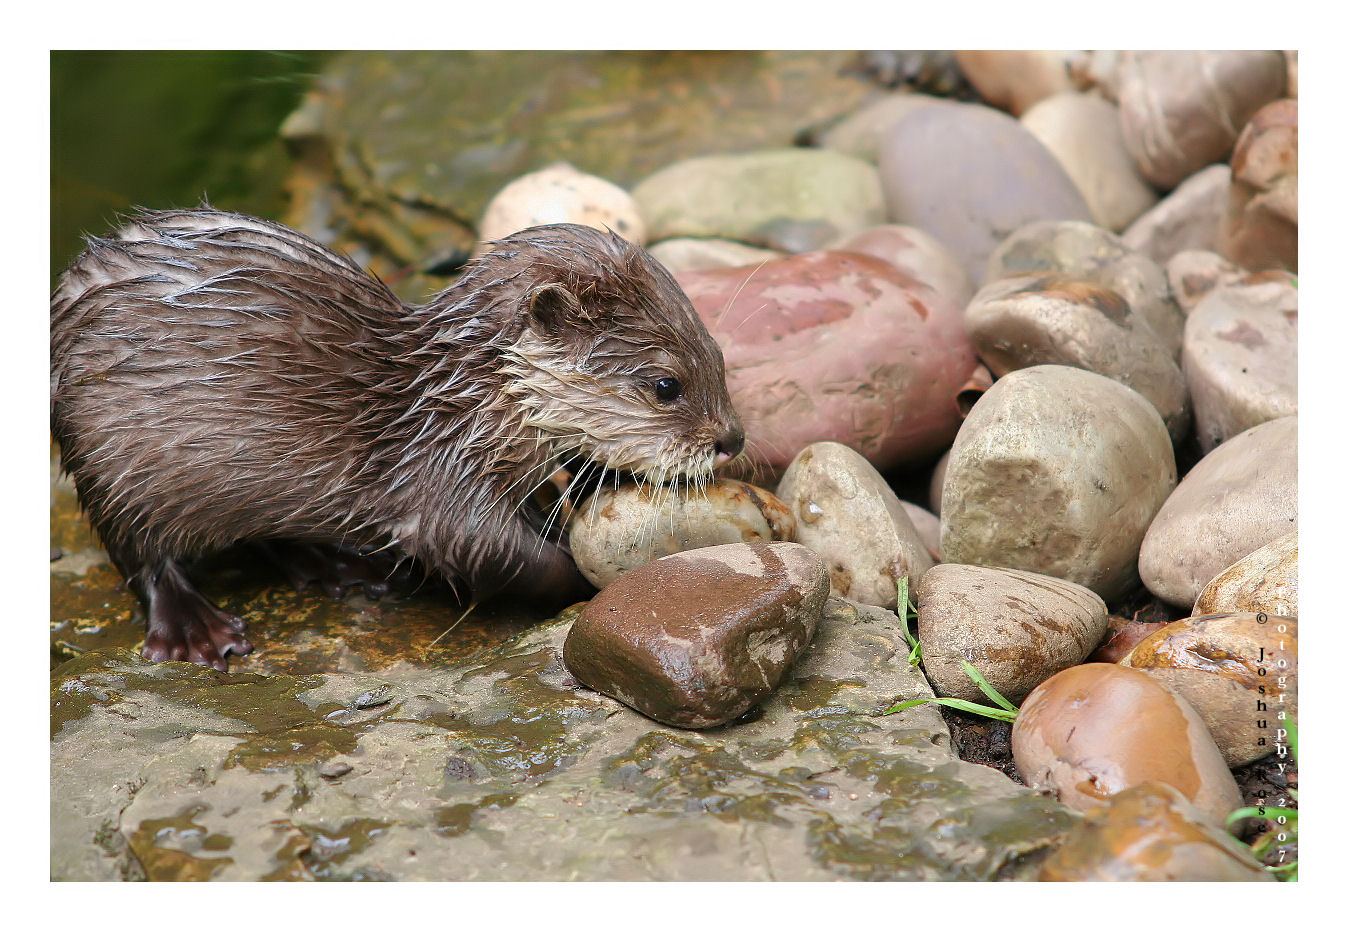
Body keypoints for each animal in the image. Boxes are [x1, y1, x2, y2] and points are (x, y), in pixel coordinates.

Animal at [49, 207, 749, 671]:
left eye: (718, 355)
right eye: (666, 385)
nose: (732, 440)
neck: (460, 409)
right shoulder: (443, 485)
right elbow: (493, 555)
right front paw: (581, 578)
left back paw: (335, 566)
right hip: (110, 464)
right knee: (140, 556)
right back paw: (198, 630)